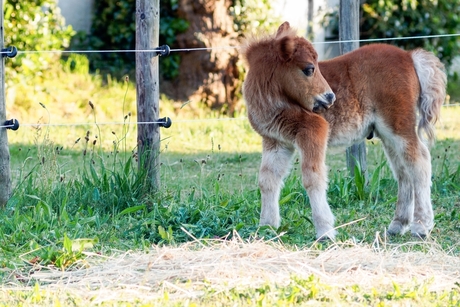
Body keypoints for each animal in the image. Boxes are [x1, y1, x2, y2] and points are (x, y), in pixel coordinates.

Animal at [241, 22, 446, 242]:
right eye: (309, 69)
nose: (330, 97)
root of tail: (409, 56)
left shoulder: (313, 130)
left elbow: (312, 178)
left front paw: (325, 231)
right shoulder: (277, 141)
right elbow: (267, 179)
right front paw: (266, 227)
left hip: (399, 126)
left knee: (419, 161)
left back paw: (421, 227)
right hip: (387, 134)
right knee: (403, 171)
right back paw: (398, 225)